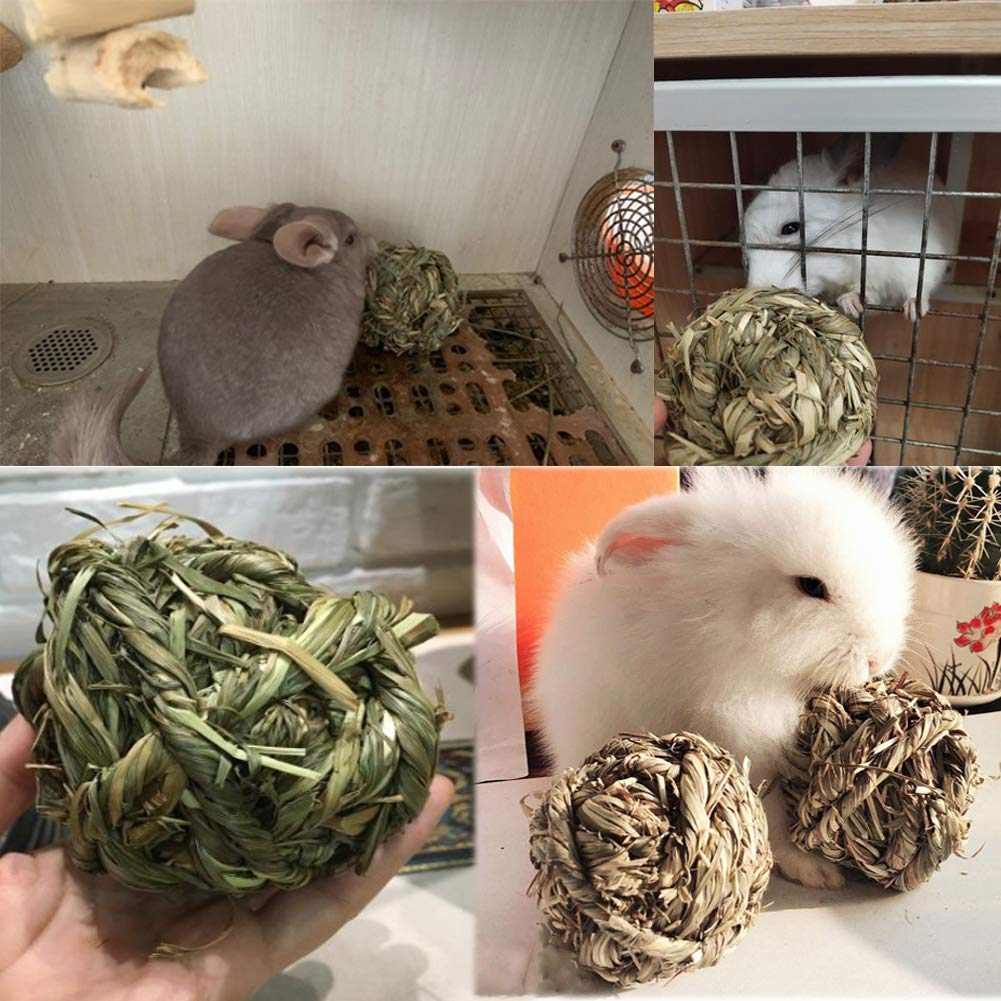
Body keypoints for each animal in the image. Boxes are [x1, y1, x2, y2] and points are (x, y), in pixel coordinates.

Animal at [743, 135, 960, 322]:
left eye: (790, 228)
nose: (758, 293)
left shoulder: (919, 260)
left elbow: (918, 288)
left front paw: (914, 311)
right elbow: (867, 294)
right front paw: (851, 304)